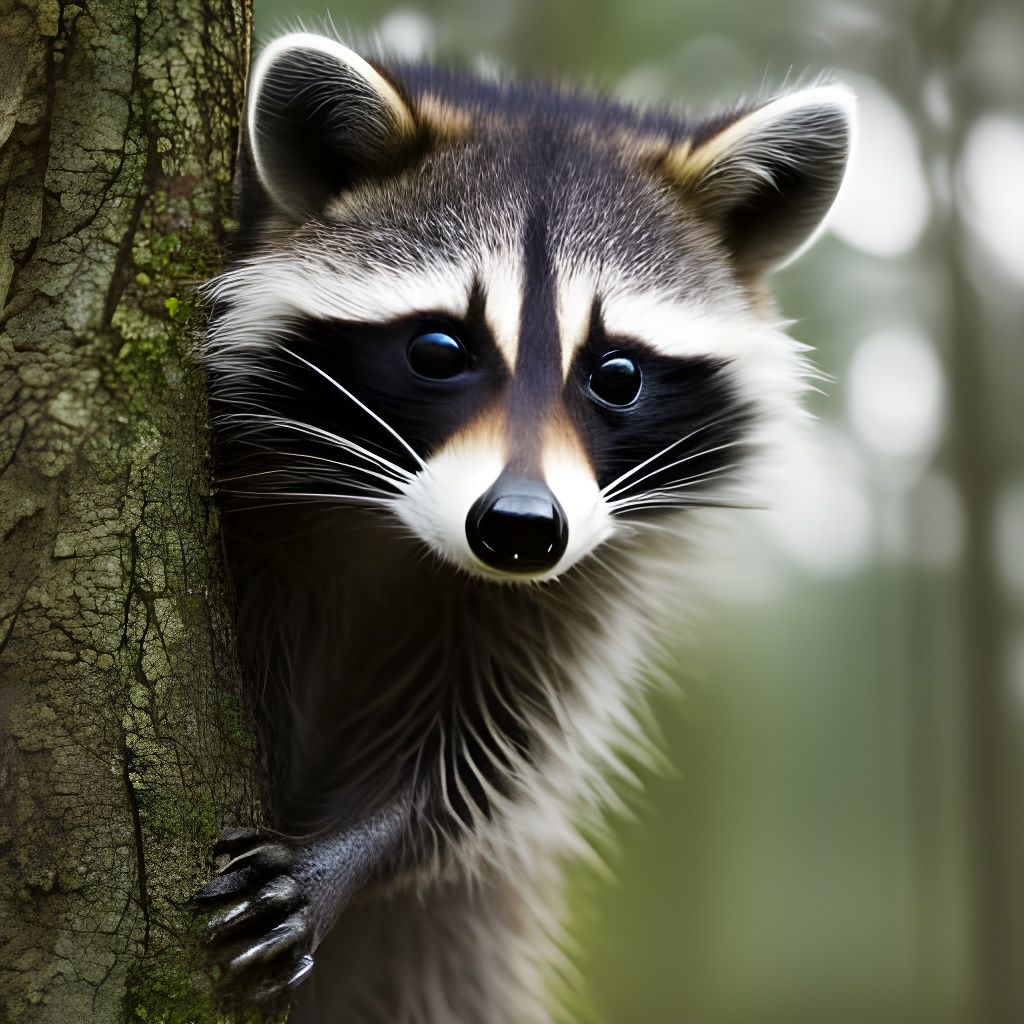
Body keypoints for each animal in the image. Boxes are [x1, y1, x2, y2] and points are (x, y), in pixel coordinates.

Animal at [194, 30, 854, 1023]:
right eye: (438, 350)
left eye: (616, 374)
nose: (518, 528)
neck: (395, 526)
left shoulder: (585, 574)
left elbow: (491, 751)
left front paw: (356, 846)